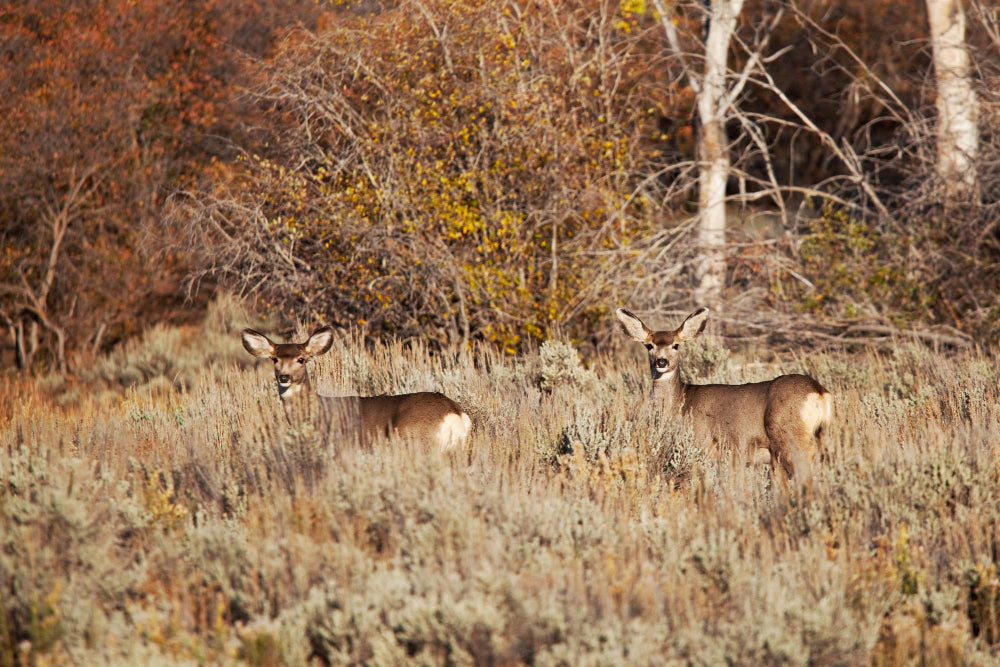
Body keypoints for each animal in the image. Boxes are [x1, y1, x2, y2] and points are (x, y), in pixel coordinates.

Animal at [612, 308, 832, 486]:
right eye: (649, 345)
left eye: (676, 345)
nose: (661, 362)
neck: (682, 403)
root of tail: (819, 392)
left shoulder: (703, 445)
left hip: (790, 437)